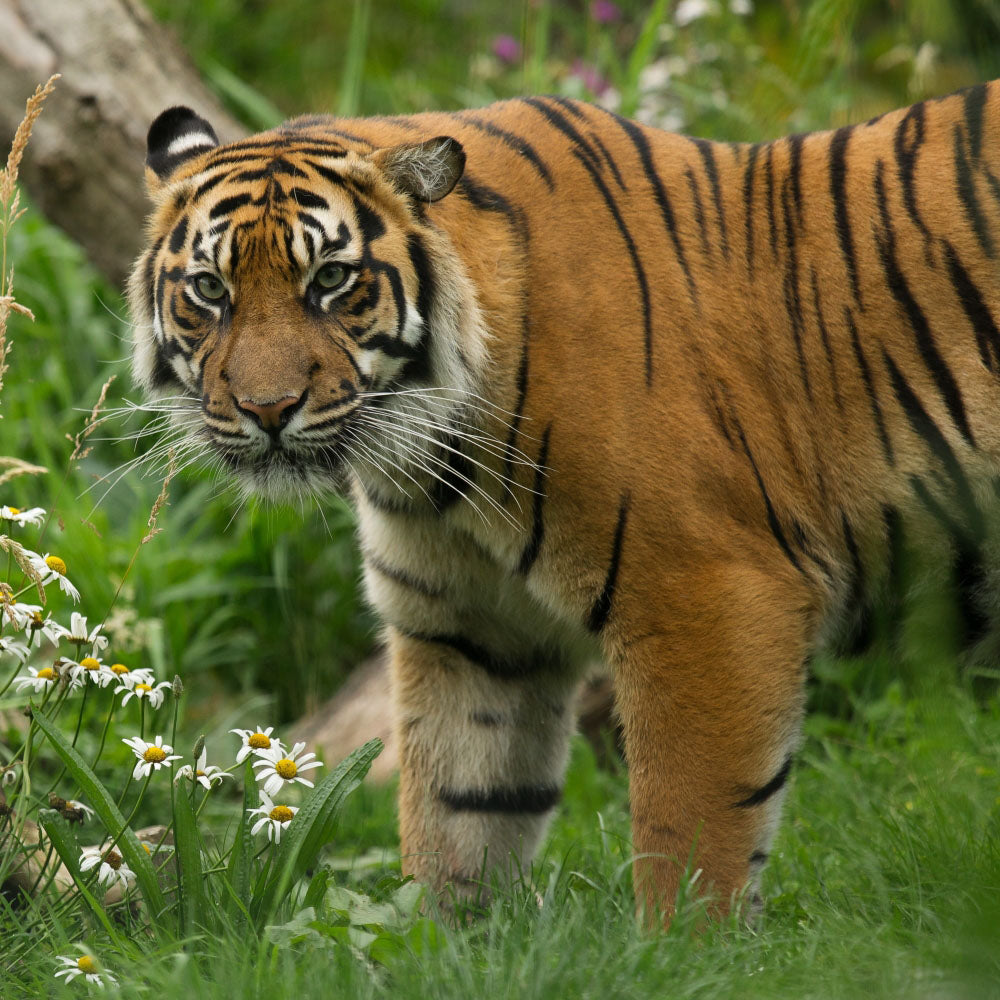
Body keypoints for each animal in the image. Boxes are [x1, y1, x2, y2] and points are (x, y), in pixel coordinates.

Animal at [128, 82, 1000, 924]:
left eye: (332, 281)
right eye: (210, 289)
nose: (267, 409)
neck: (435, 462)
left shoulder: (706, 597)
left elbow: (691, 833)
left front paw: (683, 953)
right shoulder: (470, 633)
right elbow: (457, 818)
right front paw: (445, 943)